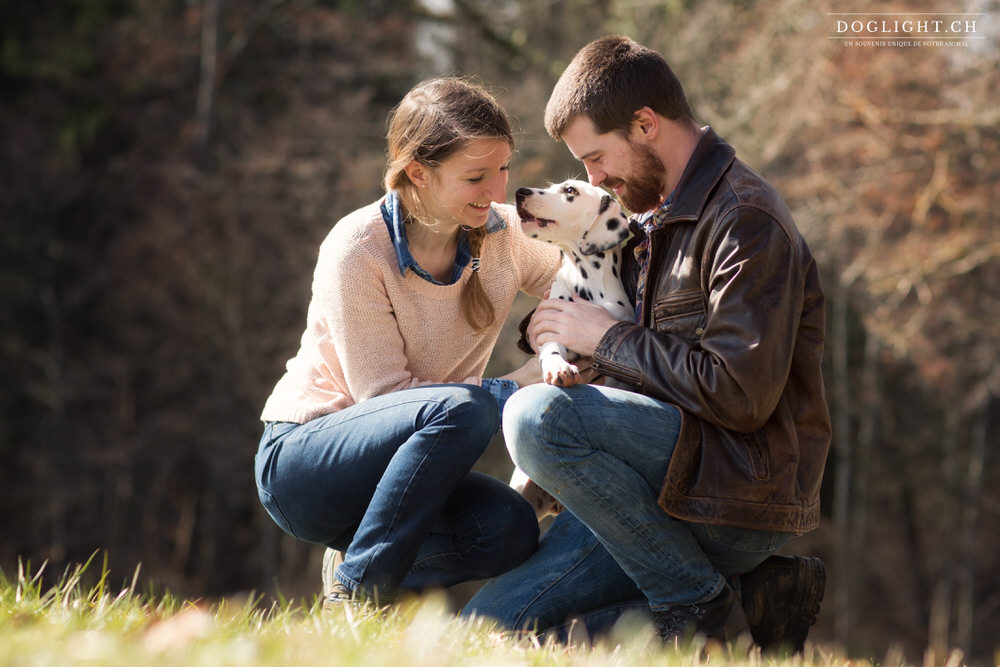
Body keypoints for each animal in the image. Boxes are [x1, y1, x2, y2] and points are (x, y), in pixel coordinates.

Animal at [512, 179, 628, 520]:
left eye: (570, 192)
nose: (520, 192)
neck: (586, 285)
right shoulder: (552, 328)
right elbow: (551, 351)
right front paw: (559, 369)